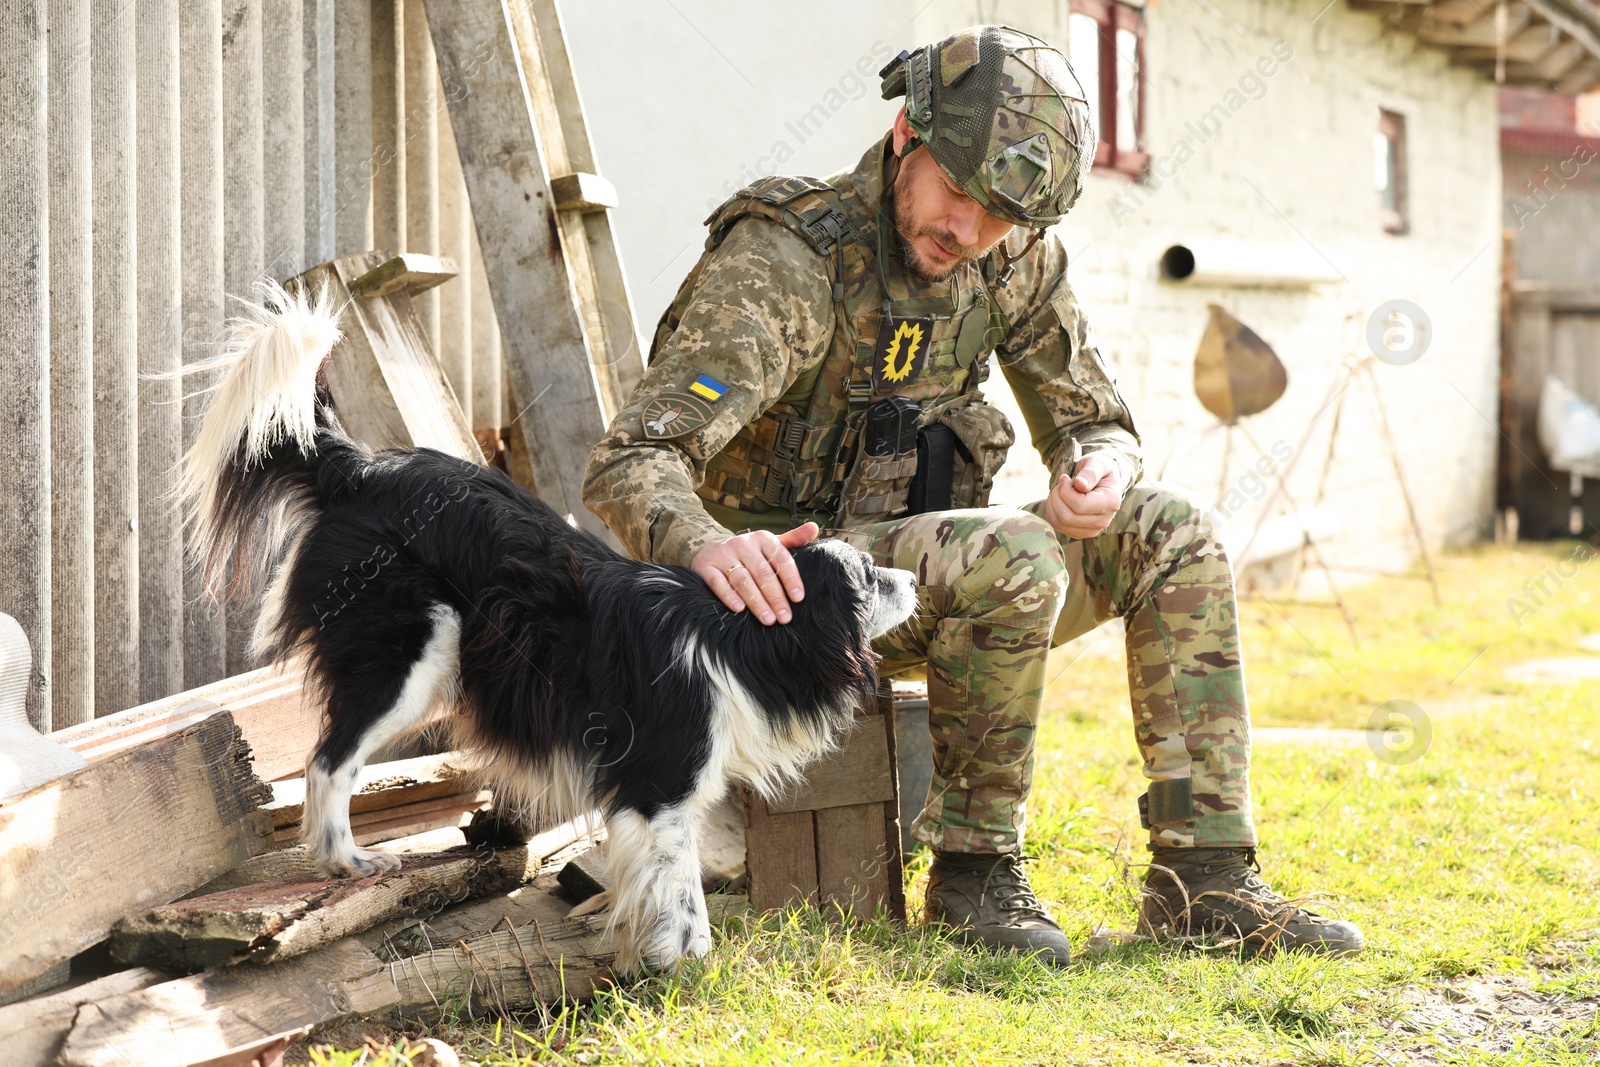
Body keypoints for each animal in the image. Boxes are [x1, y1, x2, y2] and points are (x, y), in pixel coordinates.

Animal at [181, 287, 921, 972]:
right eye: (869, 577)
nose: (914, 578)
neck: (737, 638)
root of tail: (358, 469)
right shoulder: (660, 788)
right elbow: (682, 896)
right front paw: (683, 970)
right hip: (412, 657)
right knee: (329, 759)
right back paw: (347, 862)